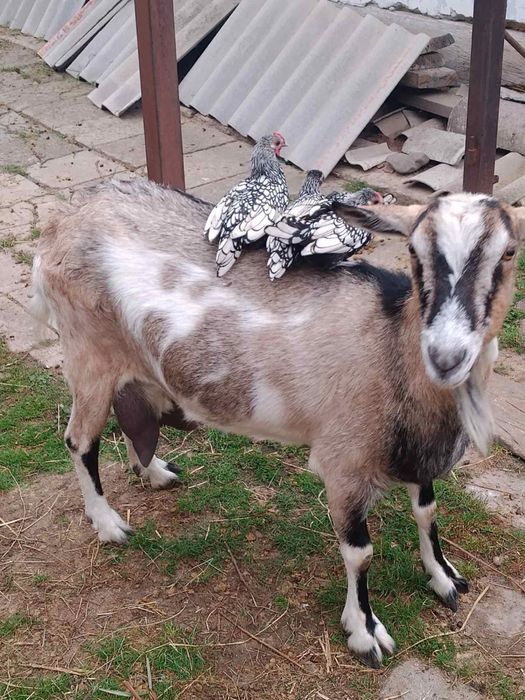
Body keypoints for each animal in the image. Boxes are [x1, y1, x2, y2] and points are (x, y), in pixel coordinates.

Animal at [30, 179, 523, 668]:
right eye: (415, 253)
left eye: (509, 252)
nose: (446, 355)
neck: (387, 346)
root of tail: (60, 224)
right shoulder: (344, 463)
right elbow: (359, 554)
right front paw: (364, 631)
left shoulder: (417, 449)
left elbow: (428, 512)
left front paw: (444, 577)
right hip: (88, 354)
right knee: (79, 441)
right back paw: (108, 524)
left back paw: (152, 471)